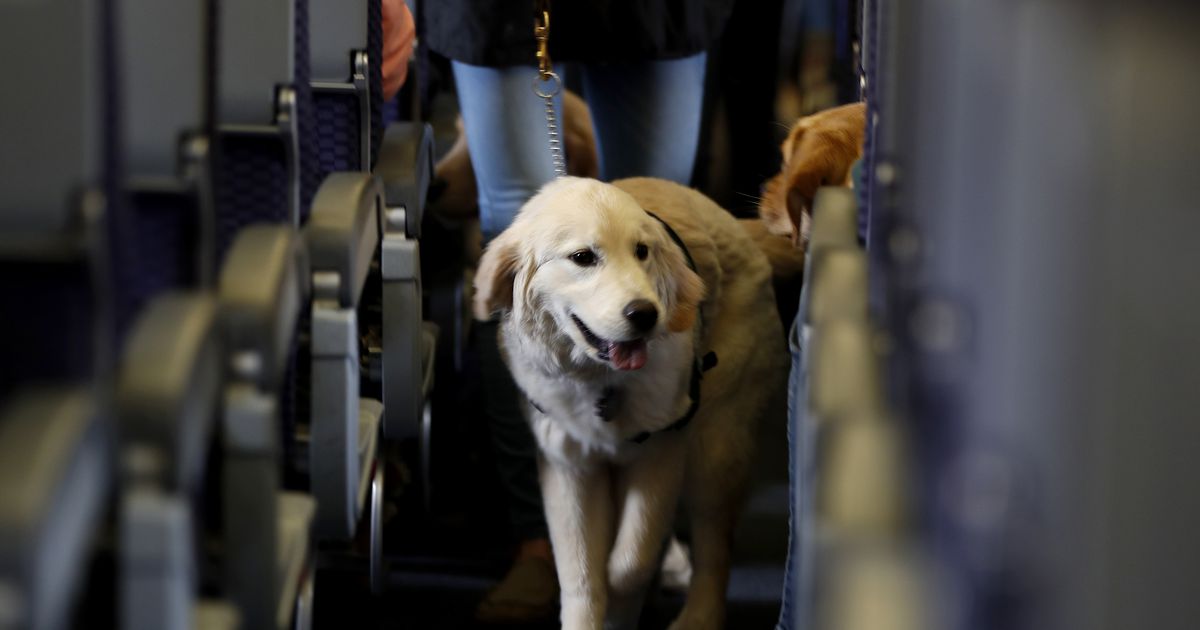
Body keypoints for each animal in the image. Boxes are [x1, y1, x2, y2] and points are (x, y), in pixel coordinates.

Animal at [472, 176, 792, 628]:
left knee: (715, 545)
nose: (645, 314)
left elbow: (629, 561)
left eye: (642, 251)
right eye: (582, 257)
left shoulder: (661, 452)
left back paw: (698, 616)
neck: (601, 381)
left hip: (716, 445)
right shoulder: (568, 464)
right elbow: (581, 576)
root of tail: (735, 224)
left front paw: (622, 604)